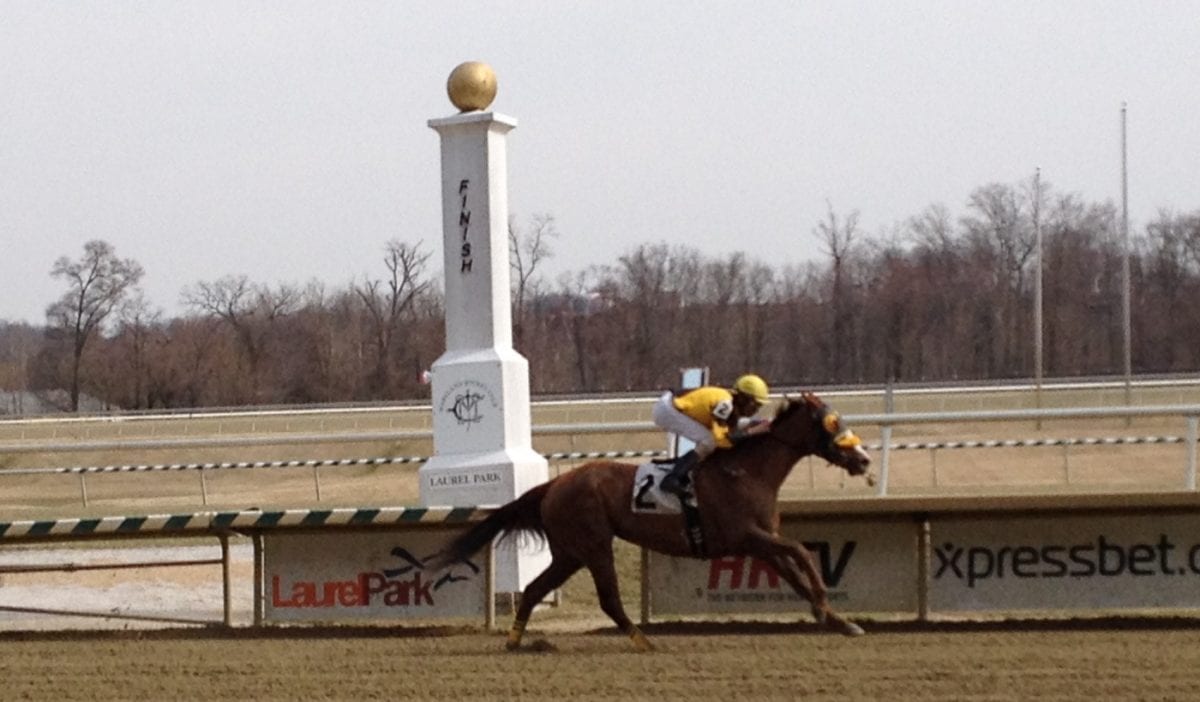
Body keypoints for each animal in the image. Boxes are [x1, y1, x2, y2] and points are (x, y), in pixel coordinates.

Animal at [436, 391, 868, 648]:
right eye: (832, 422)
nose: (863, 459)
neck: (747, 471)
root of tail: (554, 485)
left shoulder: (760, 541)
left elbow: (795, 573)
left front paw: (837, 620)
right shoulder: (748, 535)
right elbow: (801, 553)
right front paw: (826, 606)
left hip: (569, 553)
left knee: (533, 589)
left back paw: (514, 641)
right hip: (594, 544)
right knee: (608, 599)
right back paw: (644, 641)